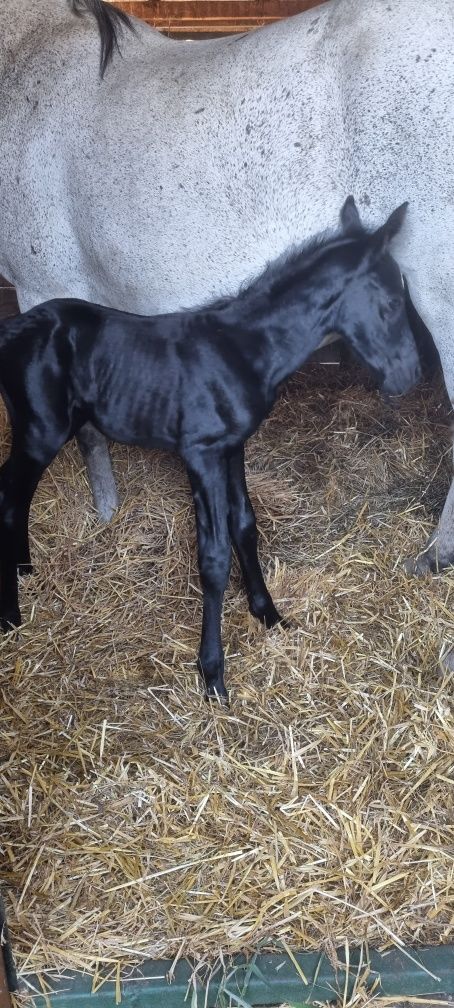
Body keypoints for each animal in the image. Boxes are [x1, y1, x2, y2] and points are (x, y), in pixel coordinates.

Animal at [0, 196, 419, 701]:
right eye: (393, 303)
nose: (410, 376)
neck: (242, 350)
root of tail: (11, 330)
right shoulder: (200, 454)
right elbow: (214, 557)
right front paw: (213, 673)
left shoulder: (231, 447)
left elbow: (245, 525)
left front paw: (268, 614)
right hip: (40, 432)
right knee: (7, 496)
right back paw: (9, 613)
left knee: (16, 496)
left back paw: (24, 568)